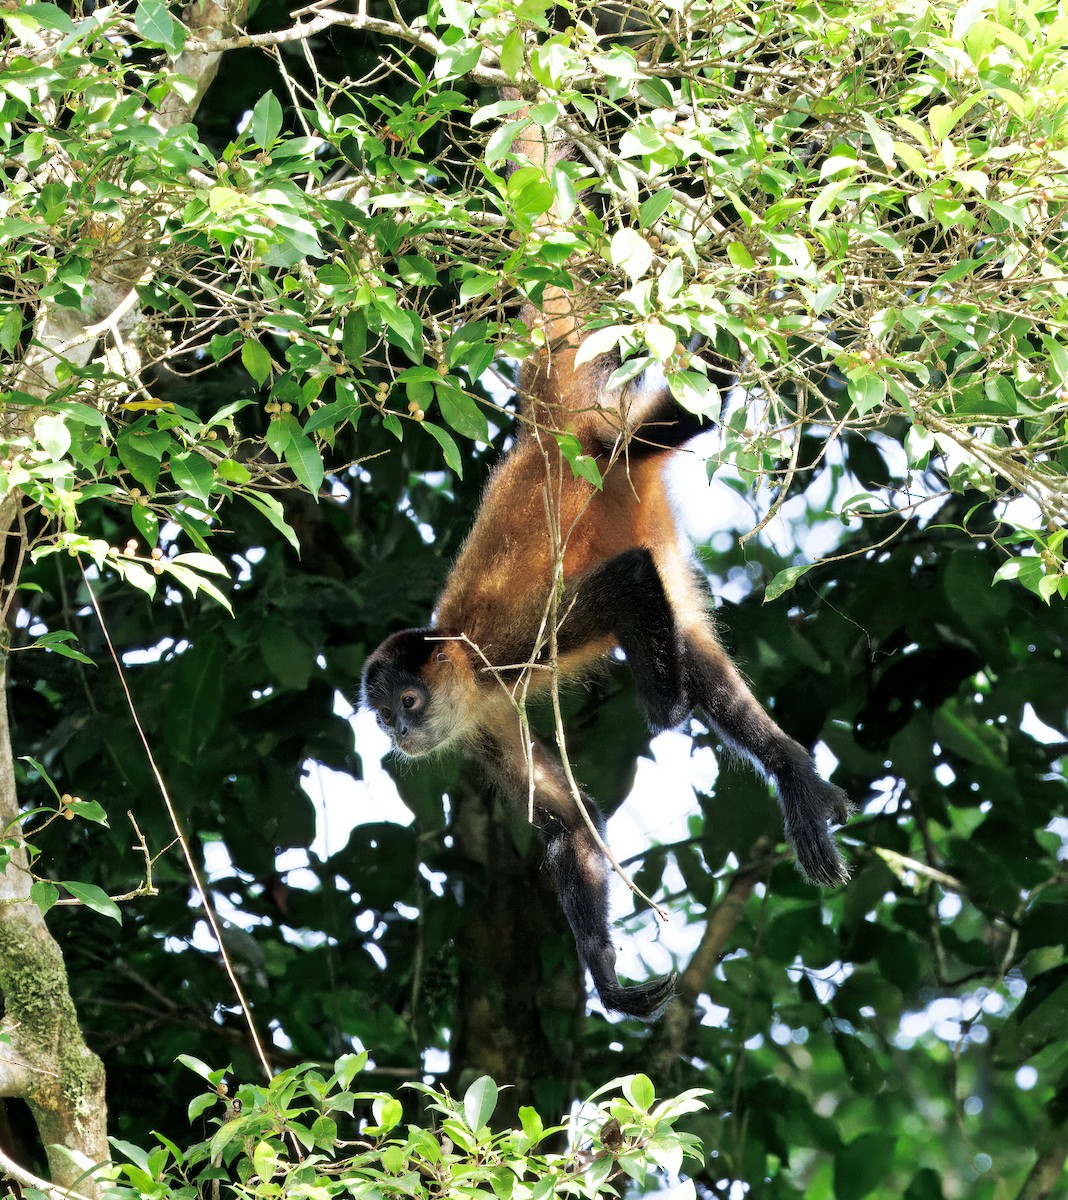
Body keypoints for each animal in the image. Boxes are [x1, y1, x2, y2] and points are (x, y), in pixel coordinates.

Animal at [361, 100, 851, 1020]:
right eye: (381, 718)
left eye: (404, 704)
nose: (399, 737)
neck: (459, 670)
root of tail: (551, 438)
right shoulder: (482, 721)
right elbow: (565, 828)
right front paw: (611, 982)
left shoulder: (503, 651)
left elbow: (622, 586)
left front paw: (663, 712)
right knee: (695, 642)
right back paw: (793, 775)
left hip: (624, 447)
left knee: (700, 409)